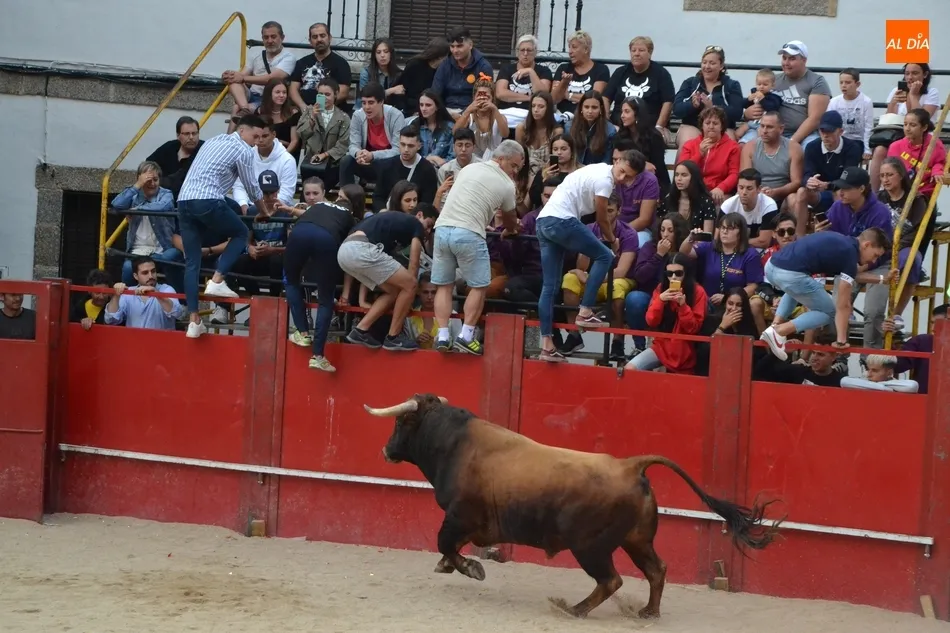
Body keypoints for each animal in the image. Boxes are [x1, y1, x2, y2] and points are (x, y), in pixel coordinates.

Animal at [365, 393, 784, 619]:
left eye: (401, 423)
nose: (384, 451)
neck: (454, 442)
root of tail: (629, 464)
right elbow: (447, 546)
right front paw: (456, 565)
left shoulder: (458, 516)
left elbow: (444, 542)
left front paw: (470, 568)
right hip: (636, 541)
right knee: (656, 569)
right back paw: (648, 612)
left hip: (590, 547)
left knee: (611, 580)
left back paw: (575, 609)